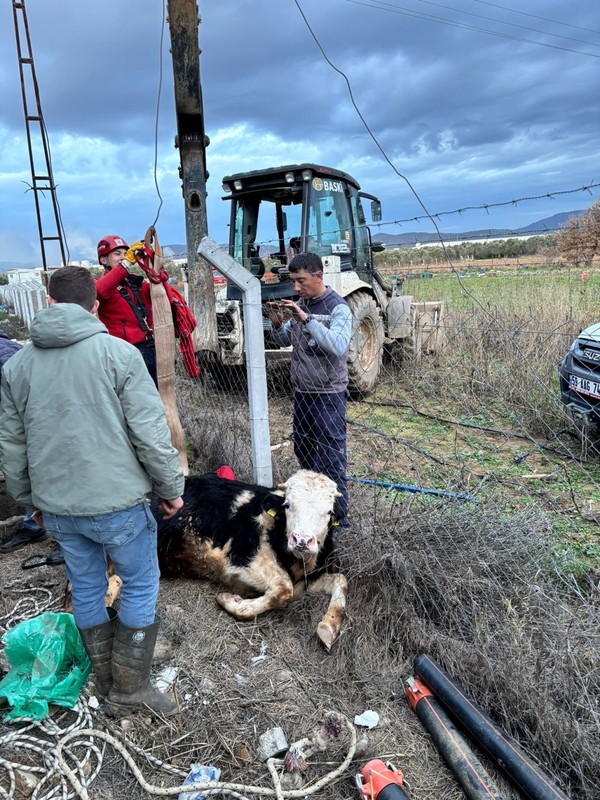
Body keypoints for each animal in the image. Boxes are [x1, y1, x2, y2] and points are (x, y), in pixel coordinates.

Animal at [155, 468, 350, 648]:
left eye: (329, 512)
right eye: (287, 505)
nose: (301, 540)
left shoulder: (306, 580)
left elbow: (340, 580)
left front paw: (328, 627)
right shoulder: (239, 558)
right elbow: (283, 590)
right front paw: (230, 600)